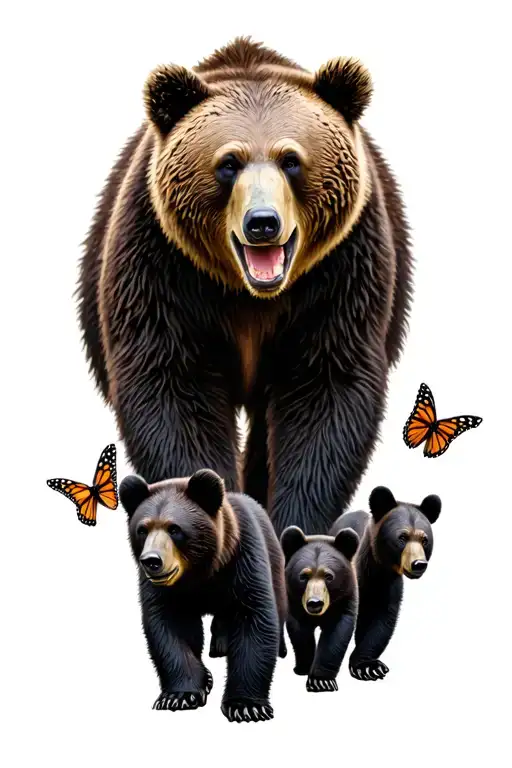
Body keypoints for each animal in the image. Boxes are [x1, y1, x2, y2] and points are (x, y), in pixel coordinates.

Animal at [78, 37, 413, 537]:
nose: (262, 223)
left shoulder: (340, 274)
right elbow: (172, 389)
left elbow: (325, 393)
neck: (252, 295)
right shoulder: (162, 266)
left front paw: (292, 523)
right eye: (228, 163)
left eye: (291, 160)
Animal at [119, 468, 287, 722]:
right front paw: (181, 694)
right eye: (142, 529)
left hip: (273, 558)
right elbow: (170, 627)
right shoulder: (165, 591)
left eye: (174, 529)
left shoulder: (243, 560)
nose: (152, 561)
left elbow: (254, 618)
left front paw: (246, 706)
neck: (201, 572)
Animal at [280, 524, 359, 692]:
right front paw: (303, 667)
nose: (315, 603)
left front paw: (321, 680)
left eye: (329, 576)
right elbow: (299, 632)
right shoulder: (295, 602)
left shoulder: (344, 599)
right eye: (303, 576)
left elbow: (336, 633)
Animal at [329, 485, 442, 681]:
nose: (419, 564)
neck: (377, 570)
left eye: (424, 539)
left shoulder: (389, 585)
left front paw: (368, 666)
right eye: (402, 537)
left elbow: (382, 621)